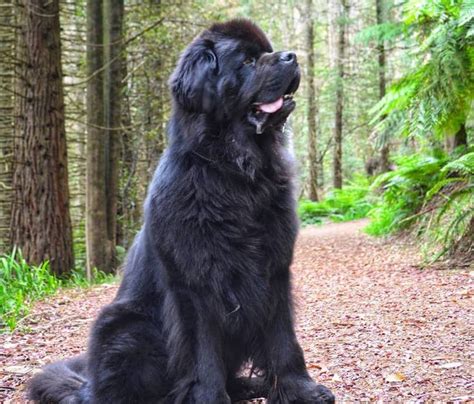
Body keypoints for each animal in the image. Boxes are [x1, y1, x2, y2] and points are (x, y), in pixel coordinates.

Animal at [28, 19, 334, 404]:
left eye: (268, 50)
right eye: (248, 61)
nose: (291, 56)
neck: (233, 174)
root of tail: (87, 389)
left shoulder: (274, 269)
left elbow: (283, 341)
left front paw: (300, 389)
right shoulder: (195, 284)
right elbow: (203, 357)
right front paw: (211, 398)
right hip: (128, 329)